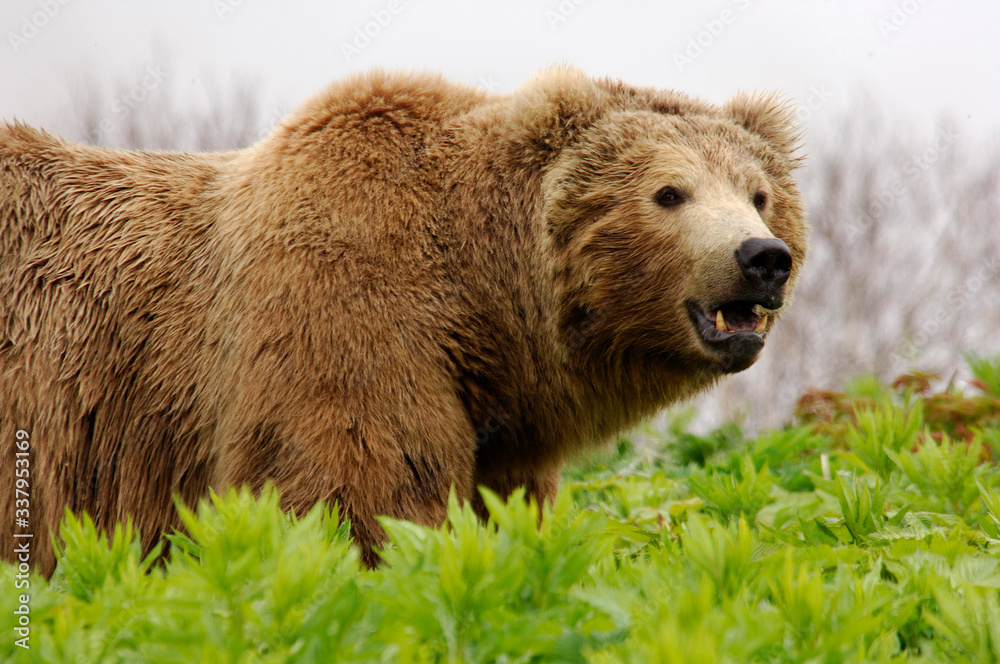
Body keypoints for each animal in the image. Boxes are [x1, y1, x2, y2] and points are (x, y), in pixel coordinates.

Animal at [0, 67, 807, 574]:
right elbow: (356, 497)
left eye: (758, 193)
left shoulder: (497, 429)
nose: (762, 257)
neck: (486, 304)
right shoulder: (343, 324)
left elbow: (509, 515)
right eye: (669, 192)